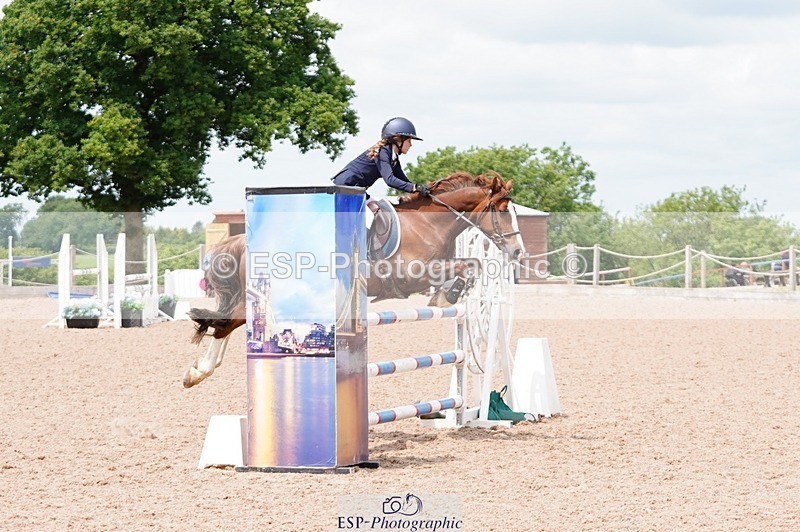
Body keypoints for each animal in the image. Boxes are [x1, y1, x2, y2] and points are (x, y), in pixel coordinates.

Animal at [183, 171, 524, 388]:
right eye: (501, 211)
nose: (518, 250)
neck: (429, 223)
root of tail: (244, 242)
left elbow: (471, 265)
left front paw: (447, 295)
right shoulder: (413, 275)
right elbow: (469, 266)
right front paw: (446, 296)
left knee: (227, 323)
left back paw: (199, 371)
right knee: (227, 323)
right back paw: (197, 373)